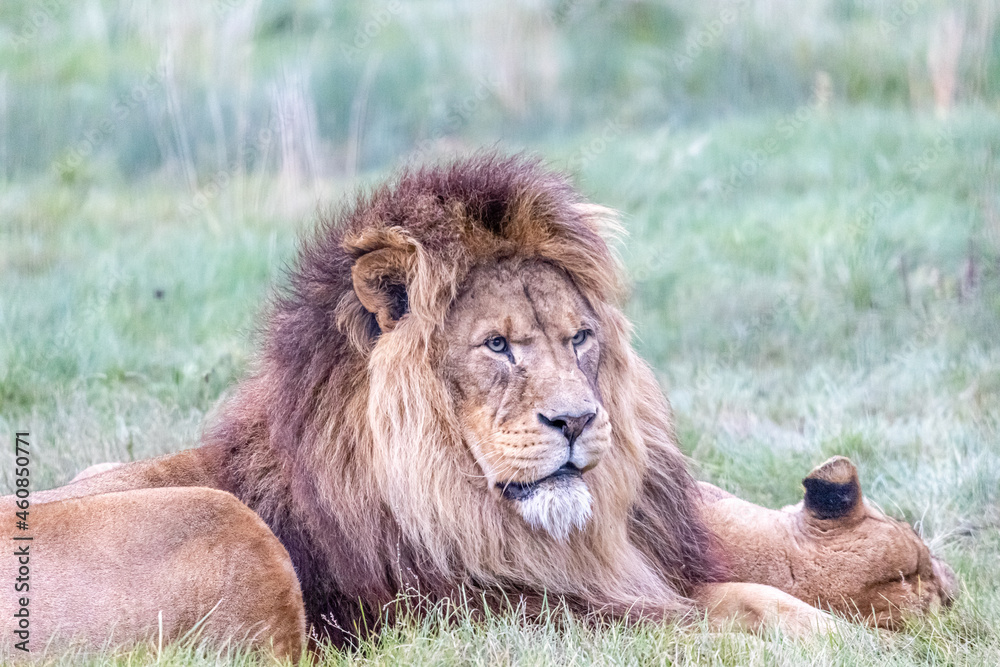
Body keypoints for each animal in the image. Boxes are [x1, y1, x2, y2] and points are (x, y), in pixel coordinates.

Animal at [13, 154, 955, 652]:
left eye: (581, 338)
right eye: (497, 346)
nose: (577, 420)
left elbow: (745, 589)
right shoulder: (523, 618)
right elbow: (711, 622)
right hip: (222, 520)